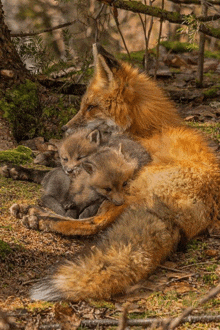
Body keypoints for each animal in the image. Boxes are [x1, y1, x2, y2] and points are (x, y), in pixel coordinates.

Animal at [9, 45, 219, 302]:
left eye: (90, 107)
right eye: (83, 105)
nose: (63, 128)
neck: (146, 128)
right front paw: (20, 167)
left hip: (124, 188)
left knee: (93, 223)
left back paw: (40, 217)